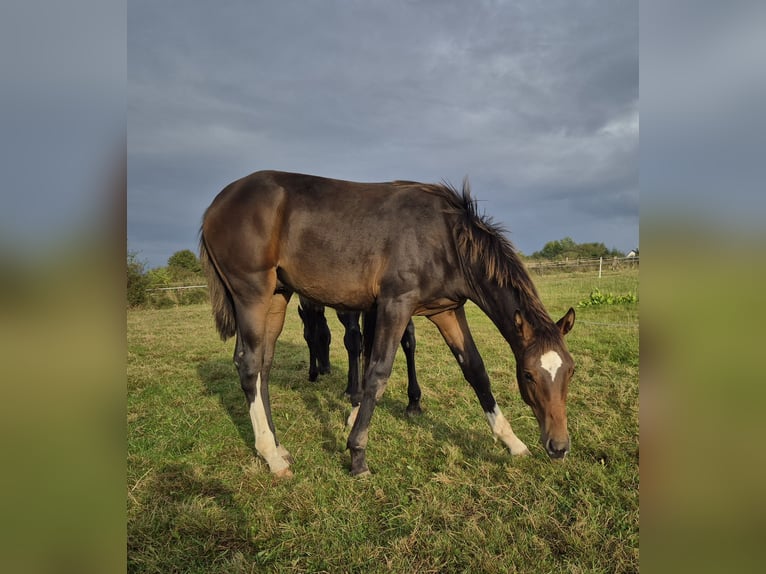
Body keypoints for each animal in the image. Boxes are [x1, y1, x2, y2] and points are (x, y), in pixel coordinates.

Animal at [200, 172, 576, 482]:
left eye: (570, 371)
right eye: (528, 375)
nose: (558, 446)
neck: (444, 237)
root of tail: (214, 207)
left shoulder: (447, 311)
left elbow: (475, 370)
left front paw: (513, 442)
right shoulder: (396, 304)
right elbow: (377, 373)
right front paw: (357, 454)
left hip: (278, 296)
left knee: (263, 364)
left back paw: (279, 447)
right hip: (252, 294)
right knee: (249, 365)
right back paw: (271, 457)